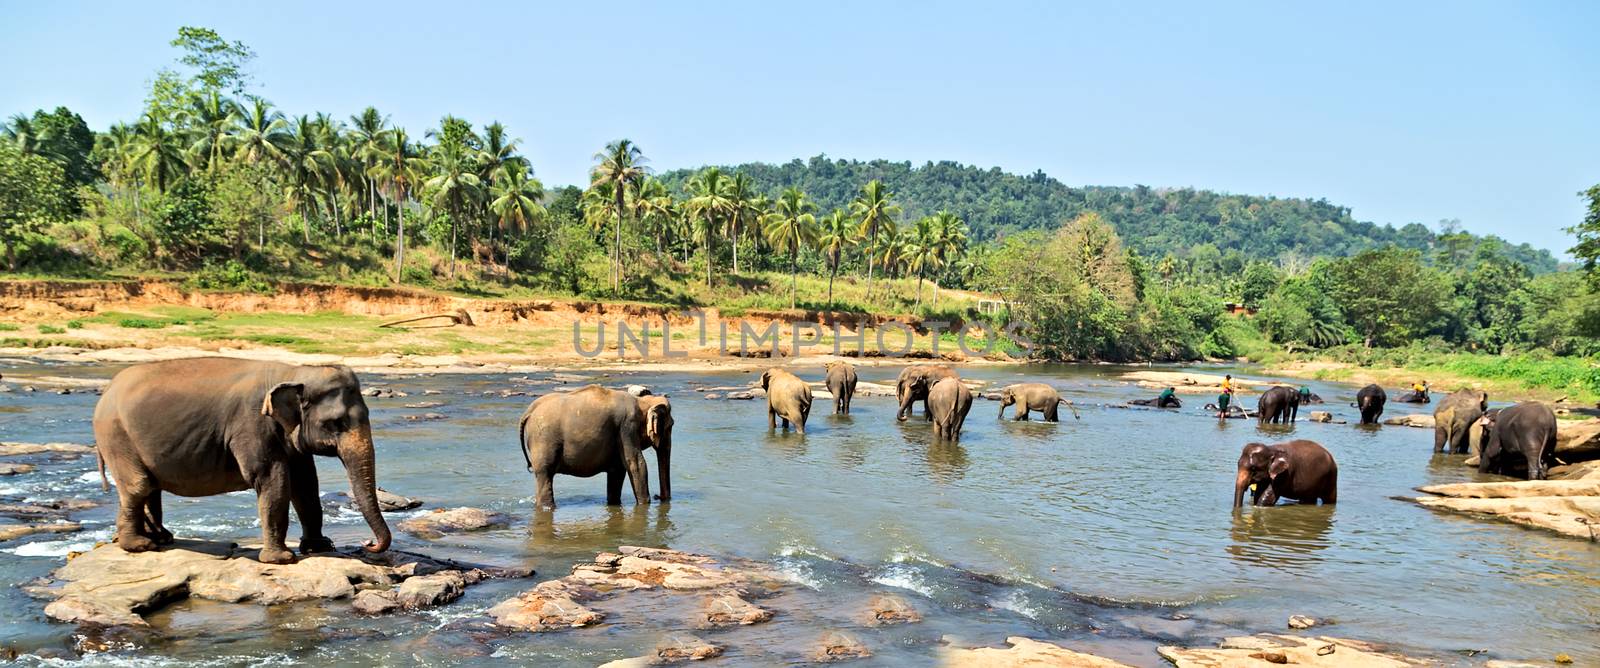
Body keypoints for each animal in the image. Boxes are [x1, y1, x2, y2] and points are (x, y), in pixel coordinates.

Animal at [93, 359, 393, 562]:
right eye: (337, 423)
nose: (367, 543)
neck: (292, 372)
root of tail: (106, 391)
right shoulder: (251, 425)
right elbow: (272, 478)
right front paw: (281, 559)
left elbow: (306, 482)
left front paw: (319, 548)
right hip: (116, 435)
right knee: (139, 485)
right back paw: (140, 546)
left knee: (150, 487)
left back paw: (161, 537)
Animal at [518, 383, 675, 508]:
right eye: (670, 426)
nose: (658, 497)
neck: (642, 402)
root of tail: (529, 411)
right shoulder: (627, 426)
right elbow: (636, 463)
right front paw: (644, 505)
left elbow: (617, 470)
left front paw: (614, 504)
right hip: (543, 440)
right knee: (545, 473)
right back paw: (548, 507)